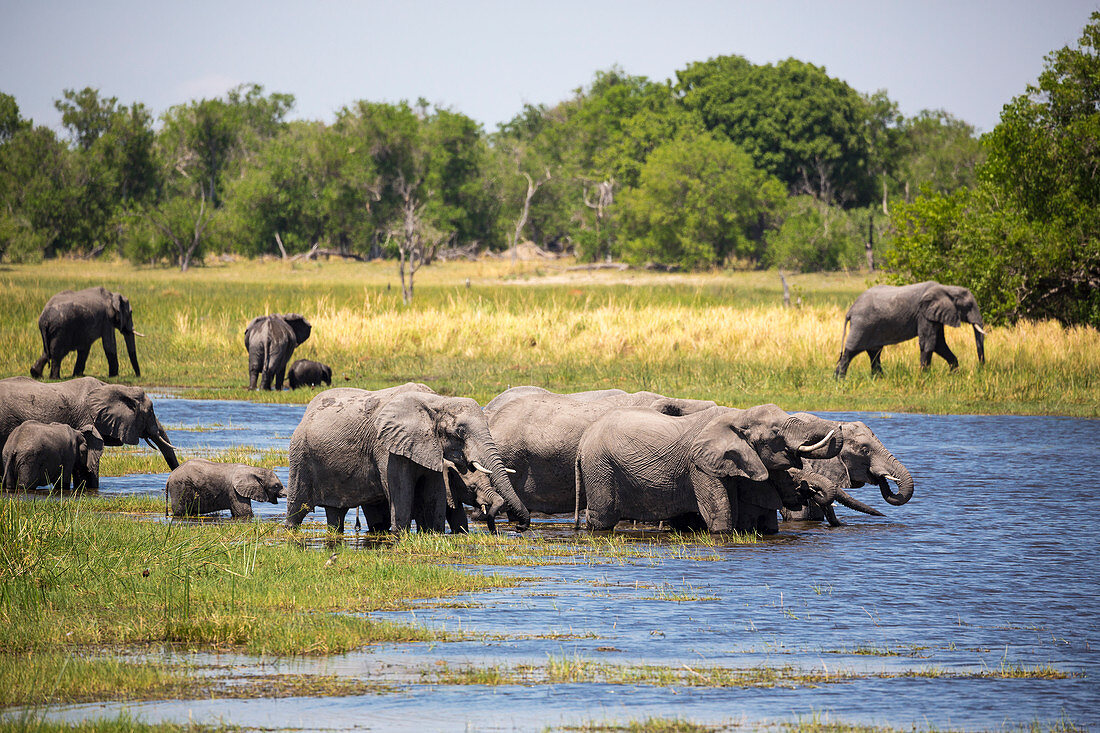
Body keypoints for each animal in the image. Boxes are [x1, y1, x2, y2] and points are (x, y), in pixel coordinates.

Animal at [286, 383, 530, 530]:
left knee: (336, 513)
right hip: (300, 455)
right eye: (460, 432)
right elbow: (400, 490)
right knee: (297, 508)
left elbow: (434, 493)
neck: (436, 401)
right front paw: (399, 536)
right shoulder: (386, 447)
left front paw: (433, 534)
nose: (520, 527)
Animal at [576, 405, 840, 530]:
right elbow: (720, 514)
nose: (838, 426)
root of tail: (584, 438)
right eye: (775, 433)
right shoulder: (699, 465)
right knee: (602, 516)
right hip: (600, 467)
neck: (737, 416)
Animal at [831, 279, 990, 376]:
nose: (981, 370)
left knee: (874, 352)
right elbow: (929, 343)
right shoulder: (924, 314)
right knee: (851, 351)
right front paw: (924, 377)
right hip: (862, 325)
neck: (946, 288)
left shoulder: (934, 315)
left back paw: (879, 379)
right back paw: (840, 380)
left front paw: (953, 374)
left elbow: (939, 344)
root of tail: (851, 310)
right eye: (968, 306)